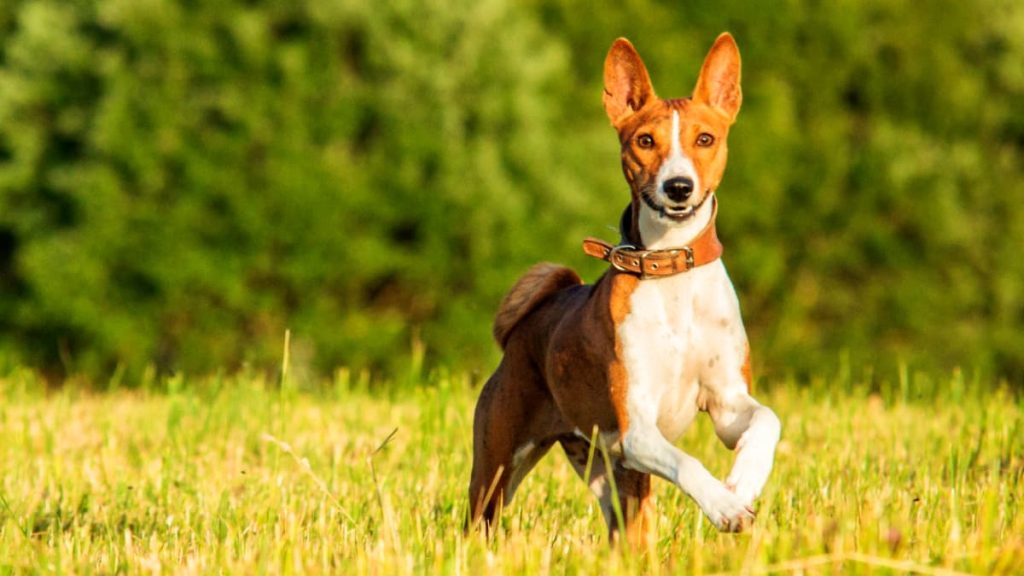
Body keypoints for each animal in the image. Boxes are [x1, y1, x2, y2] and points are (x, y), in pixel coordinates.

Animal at [468, 33, 778, 545]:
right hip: (499, 467)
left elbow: (767, 421)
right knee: (479, 521)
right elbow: (688, 462)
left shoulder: (727, 404)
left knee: (628, 535)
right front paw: (724, 506)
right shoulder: (637, 429)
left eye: (705, 139)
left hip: (609, 475)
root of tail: (529, 324)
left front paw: (743, 482)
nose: (678, 186)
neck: (672, 273)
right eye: (645, 141)